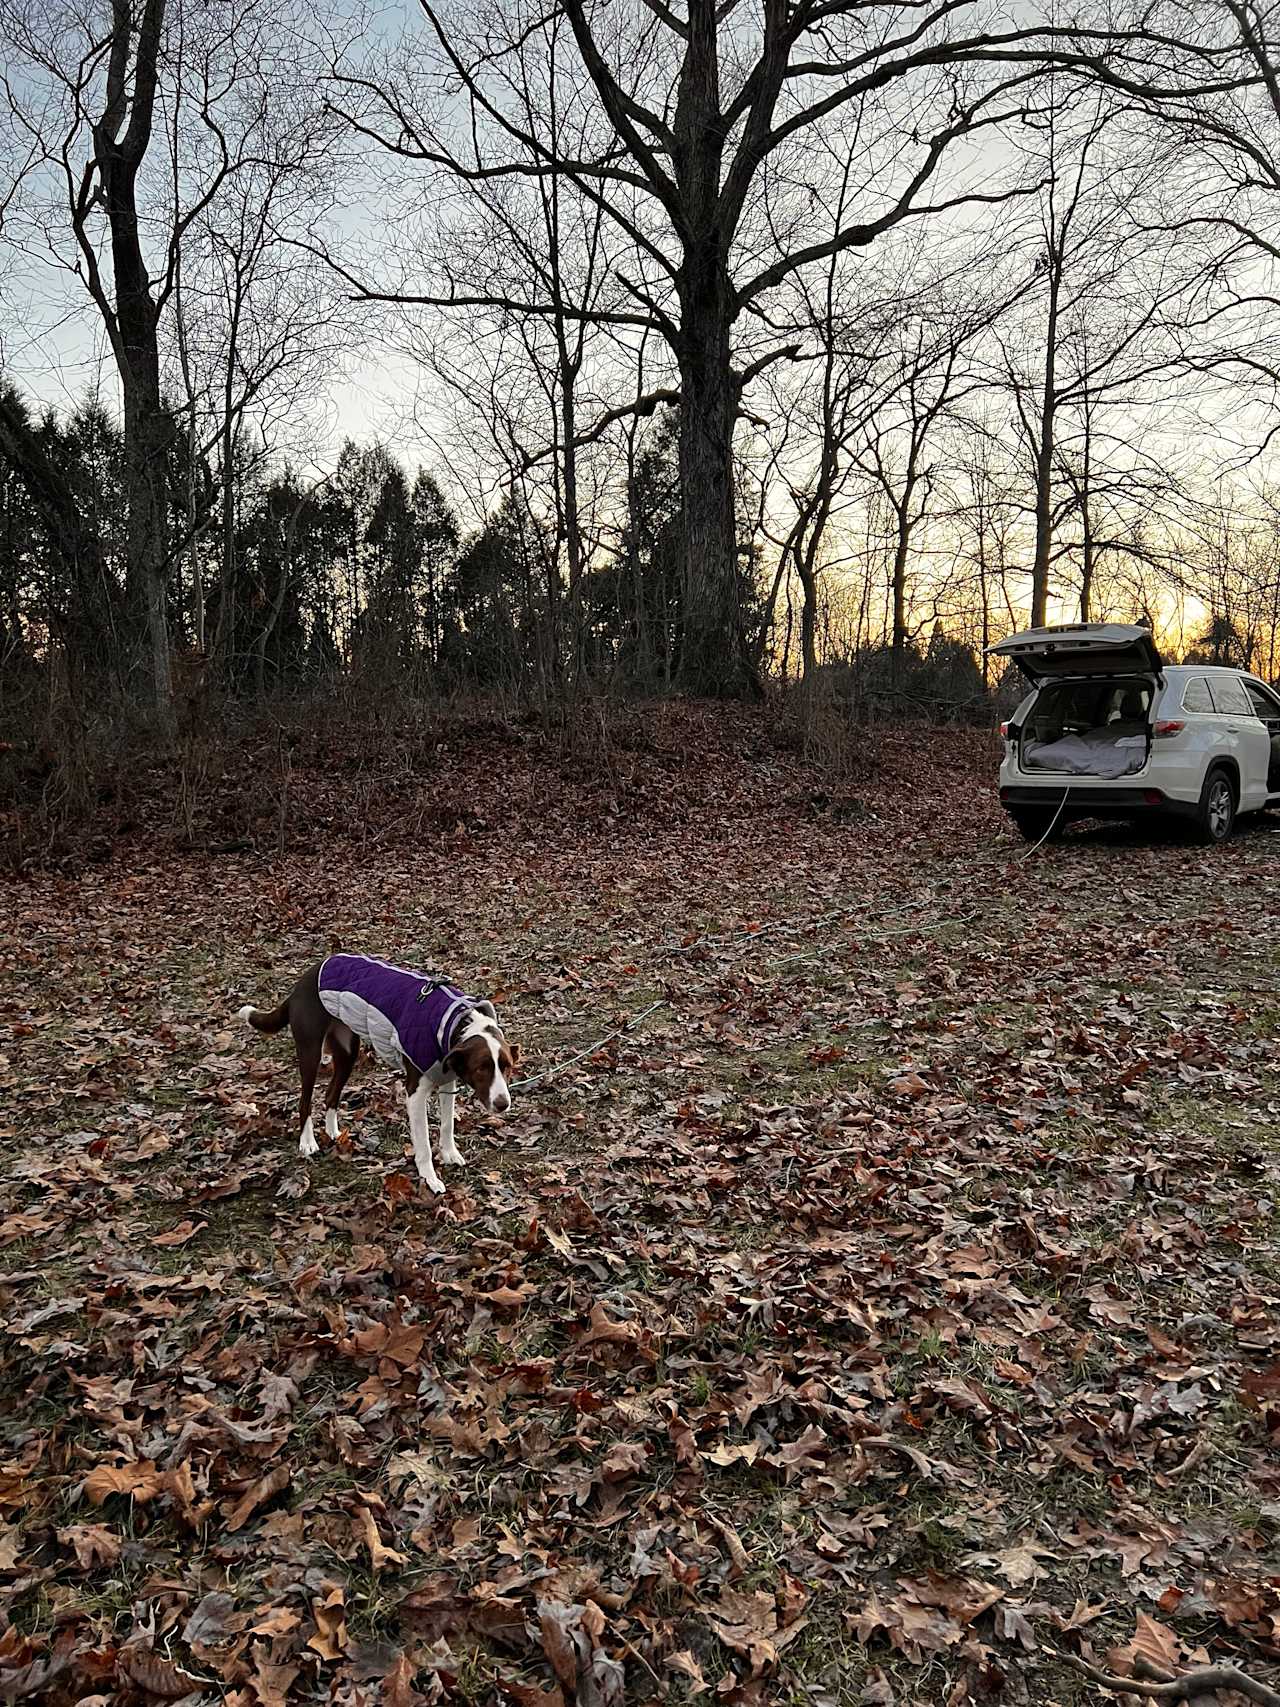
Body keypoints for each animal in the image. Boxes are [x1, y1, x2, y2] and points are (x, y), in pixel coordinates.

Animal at [238, 955, 518, 1194]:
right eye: (481, 1068)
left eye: (507, 1067)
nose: (503, 1104)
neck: (456, 1023)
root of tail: (305, 978)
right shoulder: (415, 1093)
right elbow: (424, 1144)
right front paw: (430, 1178)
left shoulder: (446, 1078)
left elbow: (448, 1123)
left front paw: (450, 1154)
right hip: (310, 1052)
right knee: (305, 1100)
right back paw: (307, 1142)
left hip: (347, 1053)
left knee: (330, 1095)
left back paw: (333, 1133)